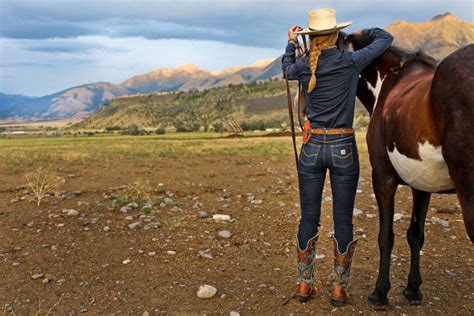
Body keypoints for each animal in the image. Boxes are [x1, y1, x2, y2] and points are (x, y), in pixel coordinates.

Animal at [338, 32, 472, 308]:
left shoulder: (383, 178)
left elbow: (386, 236)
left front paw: (380, 292)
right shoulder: (422, 184)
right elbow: (415, 235)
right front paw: (412, 289)